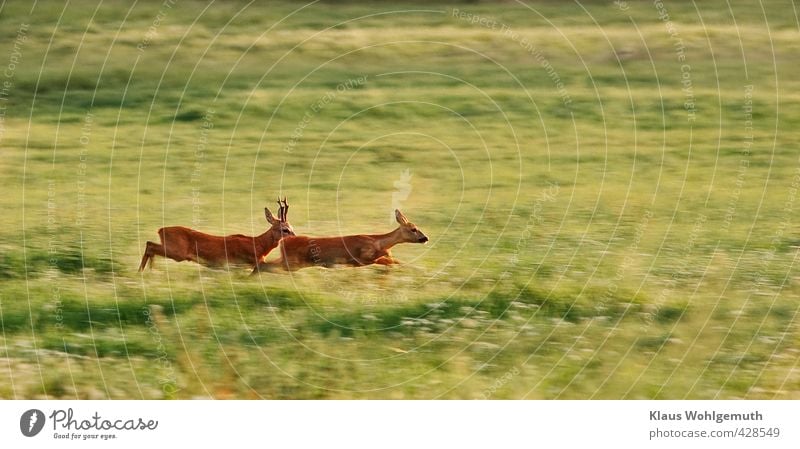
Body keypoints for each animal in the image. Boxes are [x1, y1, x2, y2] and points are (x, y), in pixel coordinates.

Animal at [139, 199, 296, 270]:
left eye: (291, 227)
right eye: (285, 229)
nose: (296, 238)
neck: (258, 245)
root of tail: (160, 230)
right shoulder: (246, 262)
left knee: (150, 245)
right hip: (177, 252)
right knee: (150, 245)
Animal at [252, 209, 428, 274]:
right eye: (413, 228)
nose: (426, 238)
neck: (377, 241)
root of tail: (284, 242)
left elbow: (394, 261)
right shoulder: (363, 257)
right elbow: (390, 260)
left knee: (263, 264)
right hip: (292, 262)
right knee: (264, 265)